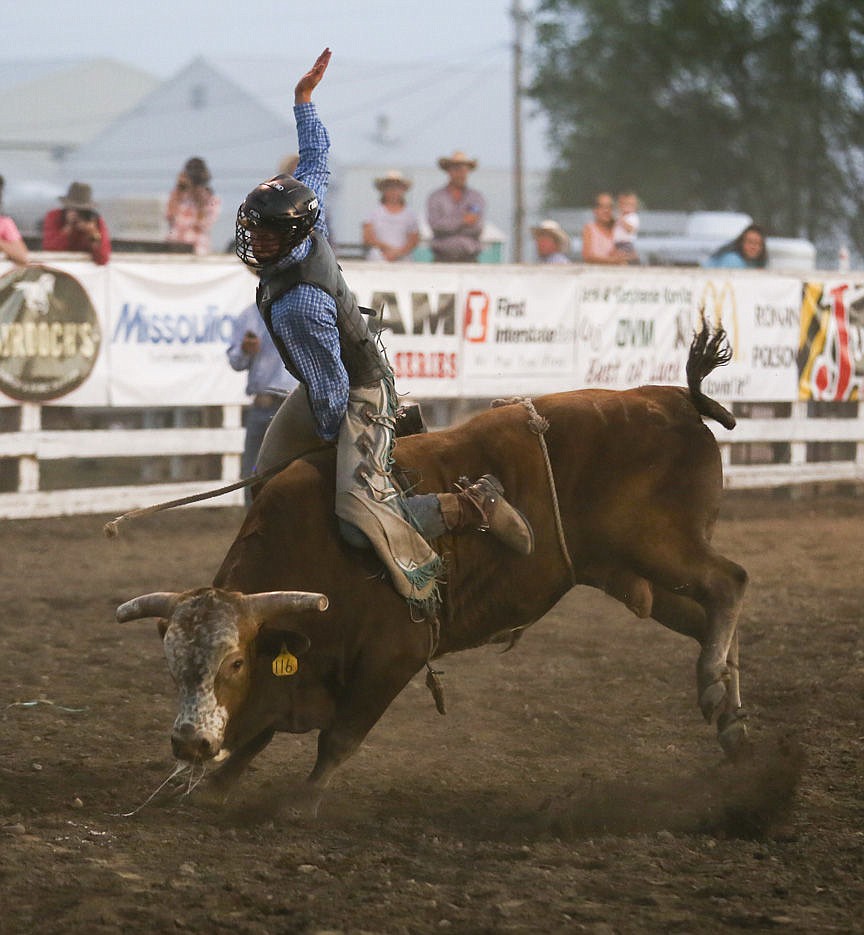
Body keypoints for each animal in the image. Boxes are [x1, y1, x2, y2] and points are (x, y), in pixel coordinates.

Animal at [116, 328, 748, 812]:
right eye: (173, 666)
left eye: (234, 662)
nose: (189, 742)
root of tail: (675, 399)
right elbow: (255, 734)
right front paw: (216, 786)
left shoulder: (393, 656)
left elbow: (338, 738)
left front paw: (301, 801)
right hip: (627, 572)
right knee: (709, 622)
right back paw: (730, 719)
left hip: (661, 546)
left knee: (729, 584)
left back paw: (716, 691)